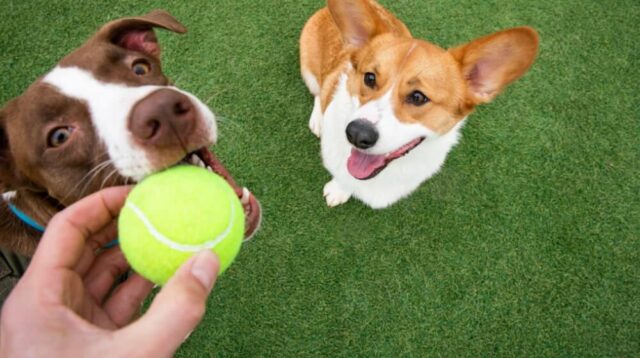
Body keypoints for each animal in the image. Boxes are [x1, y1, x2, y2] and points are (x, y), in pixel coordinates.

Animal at [302, 0, 540, 208]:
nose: (356, 134)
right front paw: (338, 190)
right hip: (309, 70)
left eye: (418, 97)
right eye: (369, 78)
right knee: (318, 91)